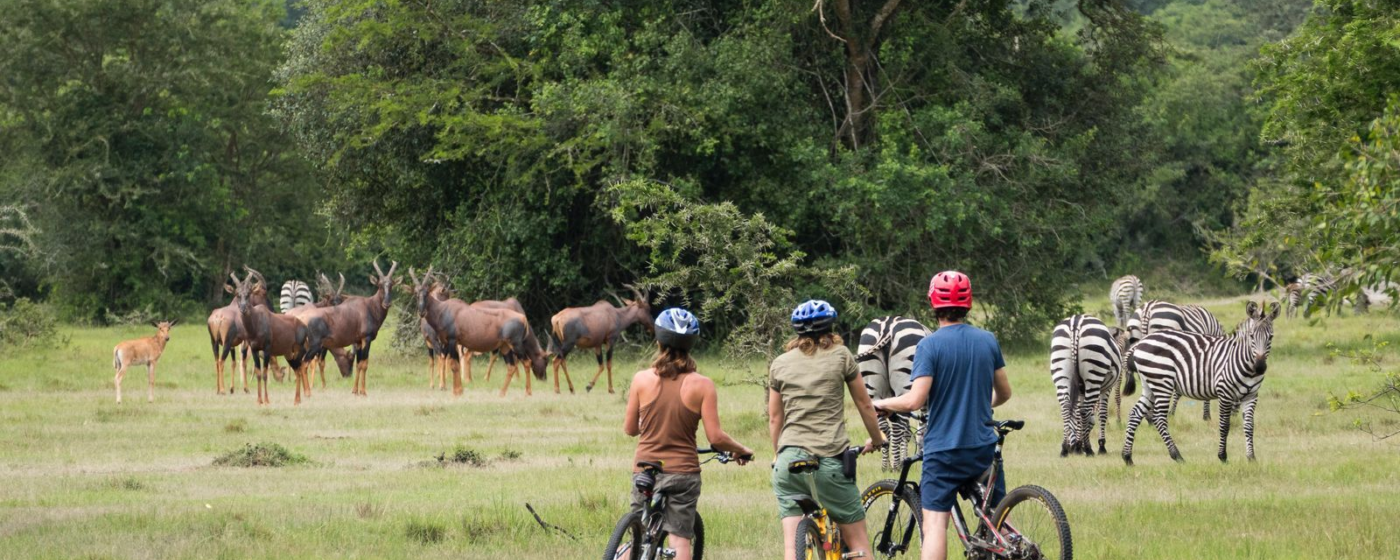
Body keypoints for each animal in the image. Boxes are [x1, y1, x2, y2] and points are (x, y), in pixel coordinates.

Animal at [235, 268, 309, 406]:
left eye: (248, 294)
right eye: (238, 295)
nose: (243, 309)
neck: (258, 320)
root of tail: (303, 326)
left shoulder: (267, 350)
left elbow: (264, 373)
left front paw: (267, 400)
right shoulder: (255, 350)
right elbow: (259, 373)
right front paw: (259, 400)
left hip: (298, 352)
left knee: (300, 368)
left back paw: (299, 398)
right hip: (289, 355)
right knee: (297, 370)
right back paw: (297, 400)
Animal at [299, 260, 400, 394]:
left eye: (391, 284)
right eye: (379, 285)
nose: (387, 303)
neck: (369, 306)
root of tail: (302, 318)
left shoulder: (358, 342)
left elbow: (359, 364)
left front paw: (355, 391)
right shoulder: (366, 339)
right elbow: (364, 364)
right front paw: (363, 392)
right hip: (314, 346)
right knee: (304, 364)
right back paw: (308, 392)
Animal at [856, 317, 935, 470]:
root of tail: (887, 325)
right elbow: (918, 429)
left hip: (872, 388)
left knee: (884, 426)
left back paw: (885, 466)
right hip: (905, 383)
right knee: (898, 427)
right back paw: (896, 466)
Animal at [1052, 312, 1125, 456]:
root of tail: (1075, 322)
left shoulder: (1080, 390)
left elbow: (1077, 414)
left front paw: (1076, 445)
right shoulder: (1106, 389)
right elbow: (1101, 414)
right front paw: (1100, 445)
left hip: (1061, 372)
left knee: (1066, 407)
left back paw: (1064, 448)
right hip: (1094, 374)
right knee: (1085, 410)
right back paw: (1088, 448)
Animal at [1120, 302, 1282, 464]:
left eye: (1271, 337)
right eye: (1251, 336)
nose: (1260, 367)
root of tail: (1142, 342)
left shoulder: (1251, 396)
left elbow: (1249, 426)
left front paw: (1251, 457)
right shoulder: (1224, 393)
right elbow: (1224, 425)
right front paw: (1222, 456)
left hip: (1150, 385)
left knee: (1135, 413)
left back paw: (1127, 457)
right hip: (1162, 383)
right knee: (1159, 418)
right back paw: (1177, 455)